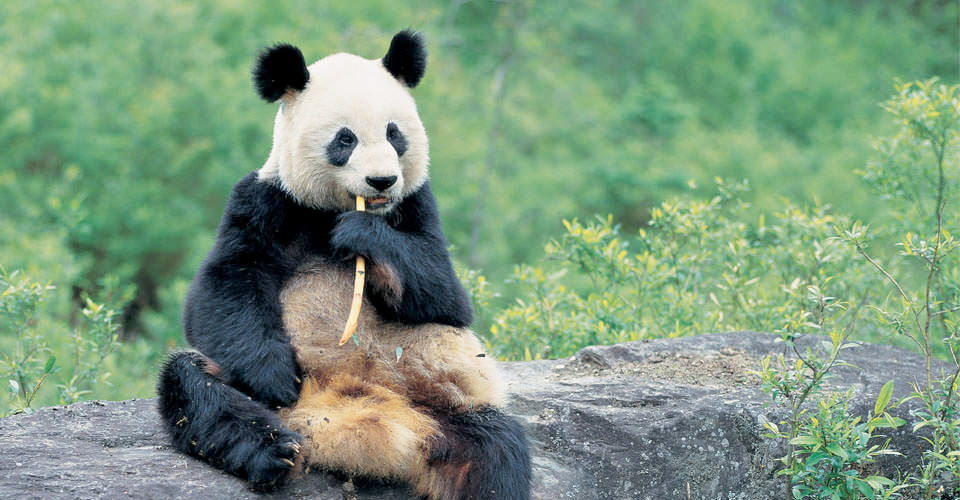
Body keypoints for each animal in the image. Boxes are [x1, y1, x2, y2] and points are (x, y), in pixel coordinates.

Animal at [157, 30, 532, 500]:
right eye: (345, 139)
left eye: (394, 133)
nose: (381, 181)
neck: (334, 208)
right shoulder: (265, 200)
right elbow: (222, 288)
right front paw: (274, 377)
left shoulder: (417, 203)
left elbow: (447, 297)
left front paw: (362, 234)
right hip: (248, 389)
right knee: (197, 388)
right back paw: (274, 453)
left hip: (449, 408)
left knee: (495, 453)